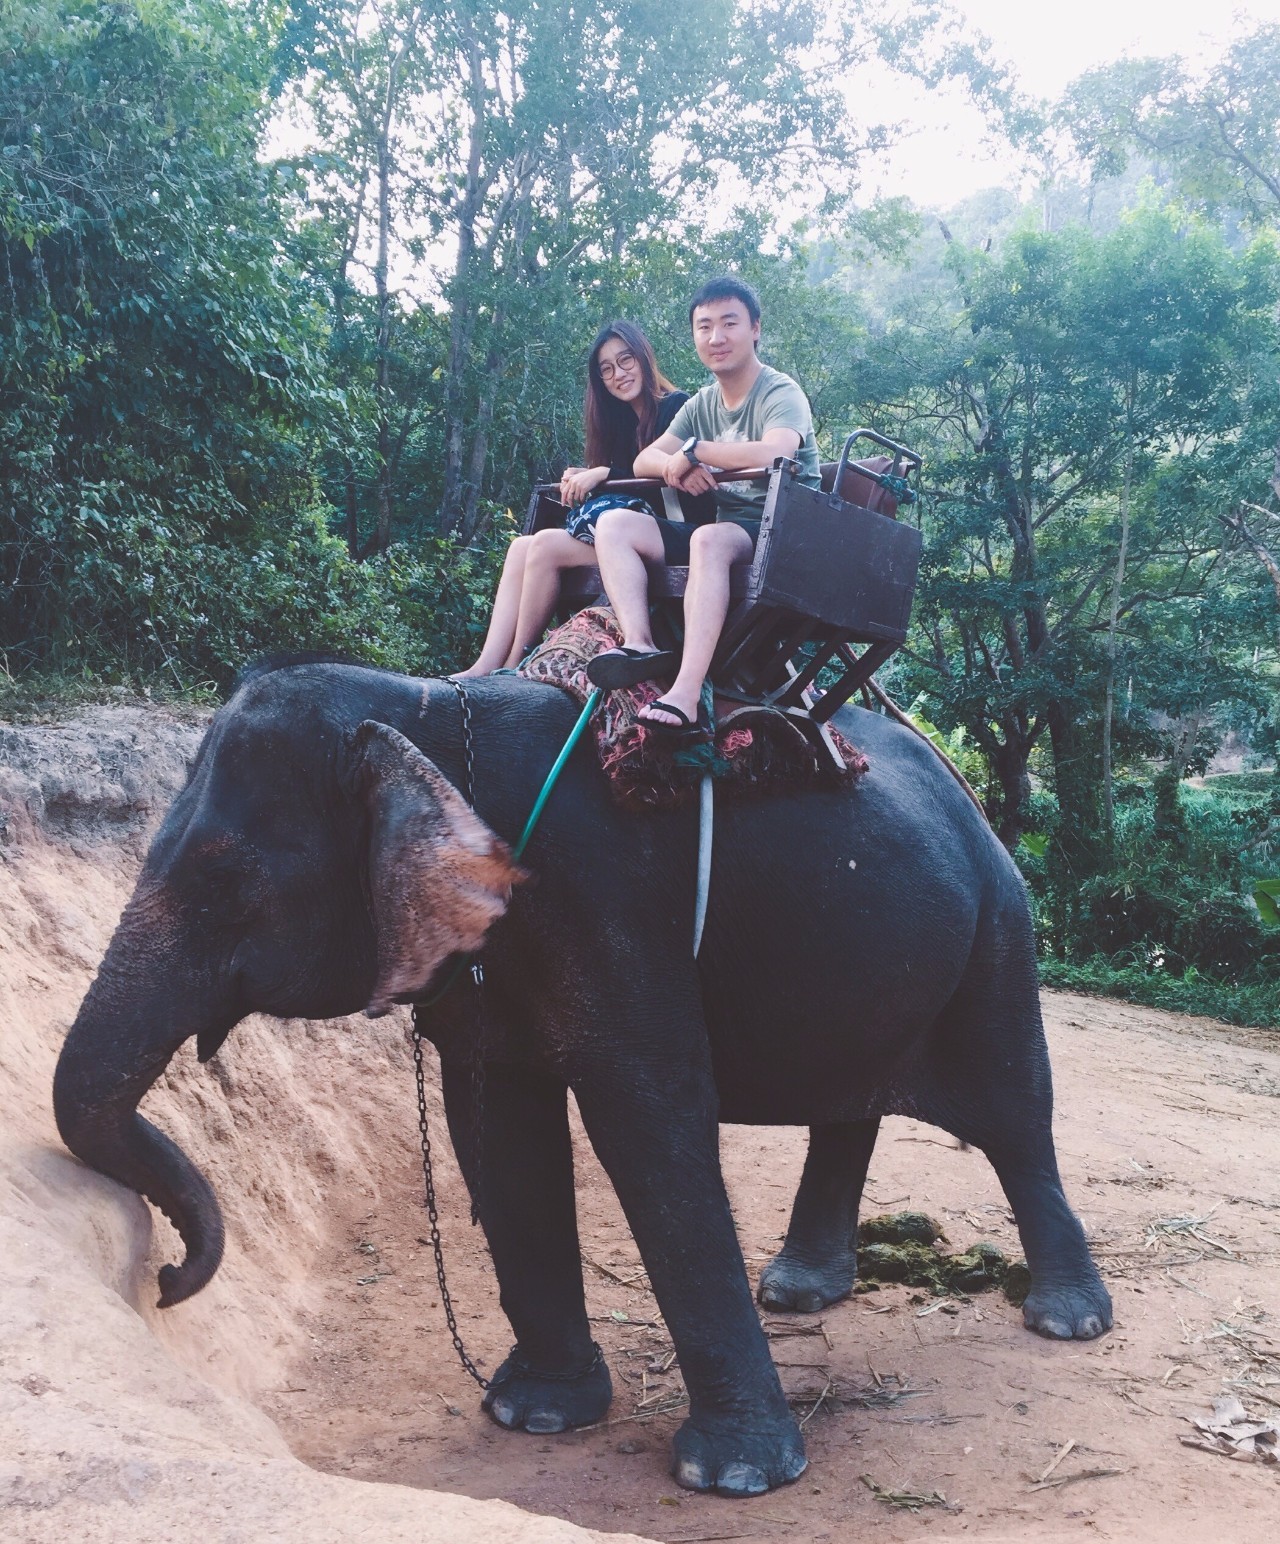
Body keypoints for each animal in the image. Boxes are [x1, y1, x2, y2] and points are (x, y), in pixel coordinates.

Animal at [49, 660, 1111, 1494]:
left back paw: (1066, 1322)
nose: (167, 1282)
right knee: (850, 1106)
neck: (422, 706)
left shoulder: (609, 902)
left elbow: (649, 1116)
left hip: (1000, 927)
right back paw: (798, 1294)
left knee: (1016, 1116)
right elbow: (497, 1125)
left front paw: (735, 1477)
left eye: (228, 884)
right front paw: (536, 1417)